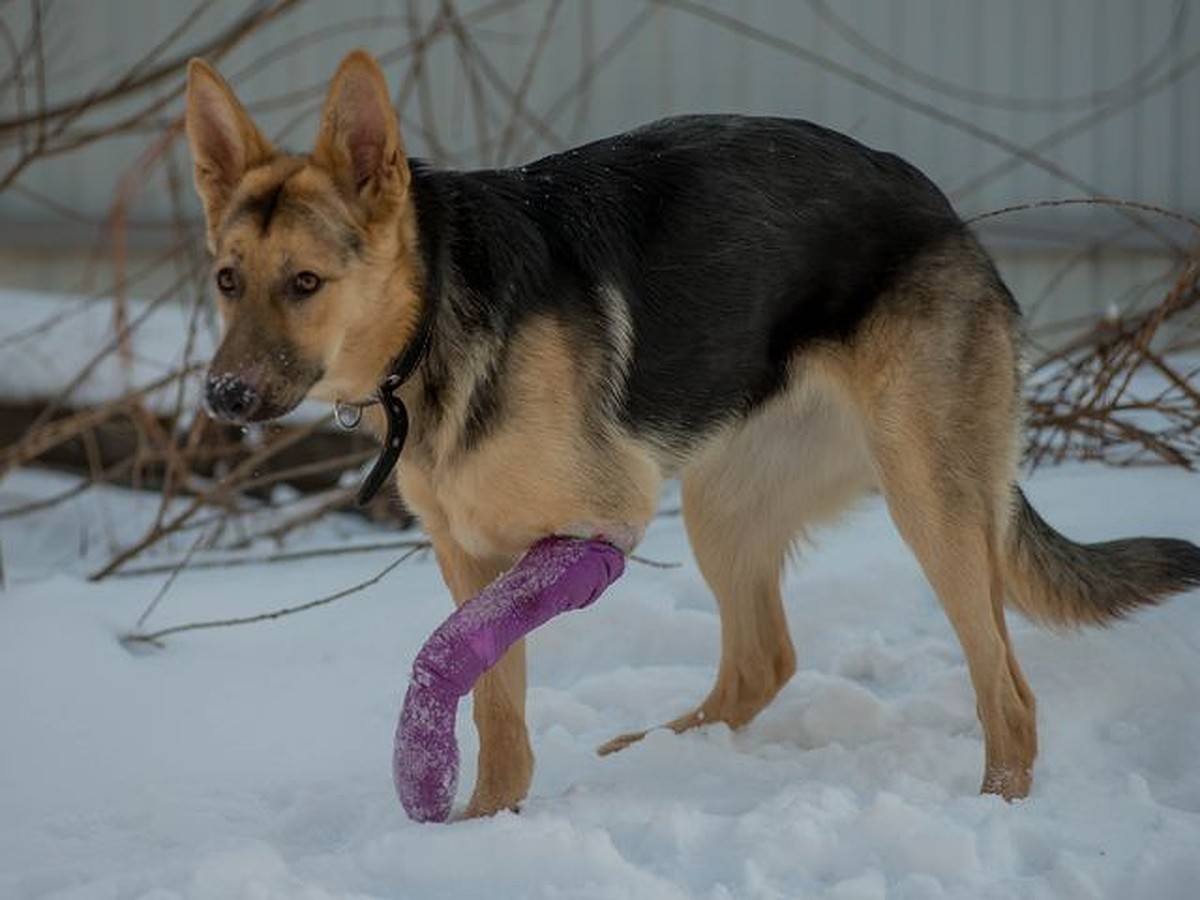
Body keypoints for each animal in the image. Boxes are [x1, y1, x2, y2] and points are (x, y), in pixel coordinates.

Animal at [182, 51, 1195, 825]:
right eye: (228, 280)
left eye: (306, 283)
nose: (222, 396)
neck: (433, 315)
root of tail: (947, 216)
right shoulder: (468, 551)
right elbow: (494, 701)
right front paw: (482, 825)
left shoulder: (601, 522)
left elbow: (456, 657)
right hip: (724, 501)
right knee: (761, 661)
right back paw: (656, 752)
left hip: (927, 499)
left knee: (1008, 694)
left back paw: (996, 805)